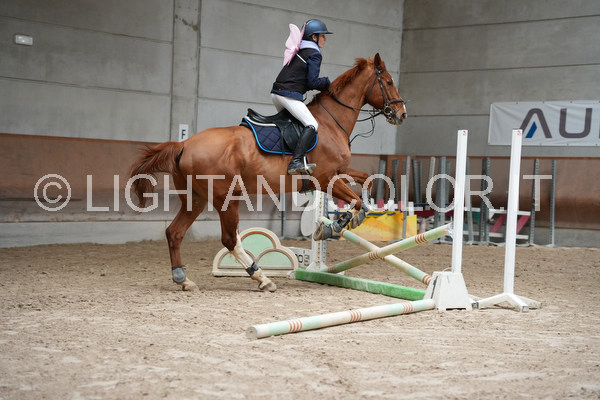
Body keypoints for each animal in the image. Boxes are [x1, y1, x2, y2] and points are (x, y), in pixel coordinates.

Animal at [129, 53, 407, 292]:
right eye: (389, 82)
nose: (402, 114)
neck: (331, 122)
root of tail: (184, 144)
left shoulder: (340, 171)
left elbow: (366, 184)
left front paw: (362, 215)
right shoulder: (326, 178)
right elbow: (355, 200)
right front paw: (332, 227)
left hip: (195, 199)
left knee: (175, 233)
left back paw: (183, 279)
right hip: (225, 199)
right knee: (229, 240)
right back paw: (261, 277)